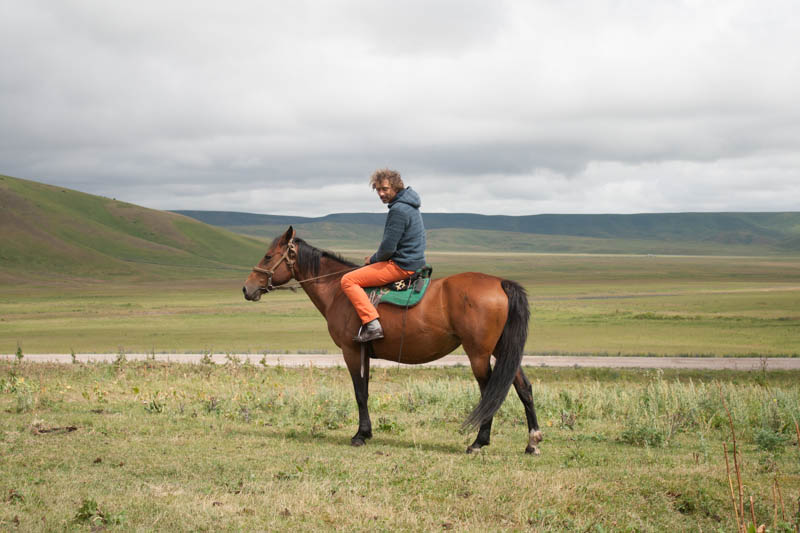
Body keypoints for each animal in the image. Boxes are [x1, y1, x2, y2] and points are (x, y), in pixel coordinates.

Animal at [244, 225, 544, 454]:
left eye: (268, 256)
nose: (247, 288)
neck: (338, 290)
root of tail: (500, 283)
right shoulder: (363, 352)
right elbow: (365, 391)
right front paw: (366, 432)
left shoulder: (350, 351)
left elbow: (359, 393)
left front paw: (360, 435)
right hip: (503, 350)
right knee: (523, 388)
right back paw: (532, 442)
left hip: (479, 354)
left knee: (490, 392)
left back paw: (479, 442)